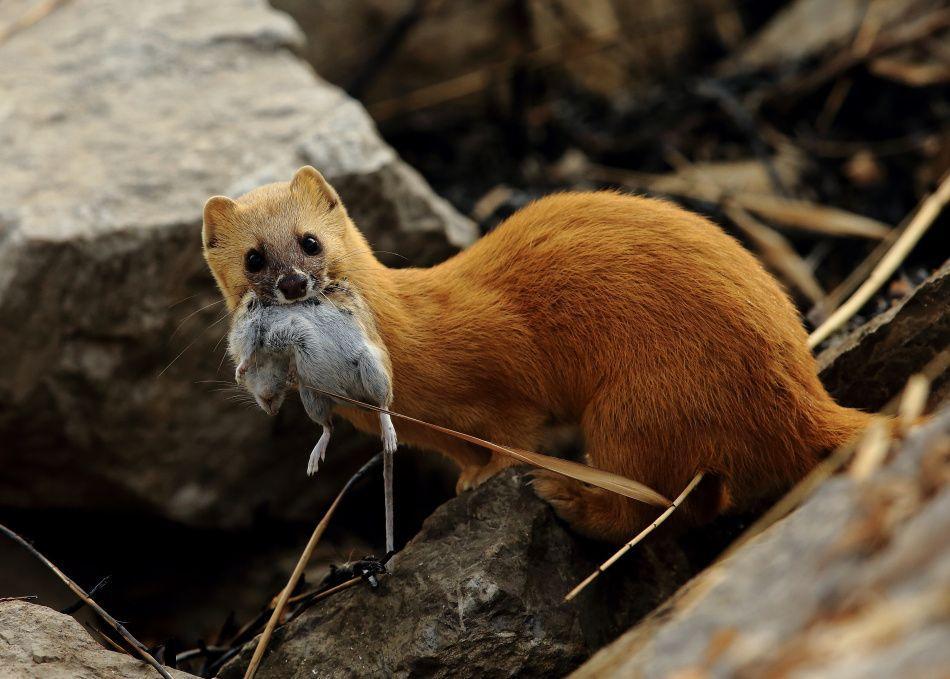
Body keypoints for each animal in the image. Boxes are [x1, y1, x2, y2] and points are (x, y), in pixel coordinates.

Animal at [205, 165, 872, 540]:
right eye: (253, 258)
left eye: (310, 241)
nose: (294, 283)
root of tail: (799, 386)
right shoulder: (433, 429)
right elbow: (463, 451)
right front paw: (467, 479)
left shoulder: (497, 378)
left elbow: (513, 431)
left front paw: (495, 474)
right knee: (699, 502)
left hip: (633, 406)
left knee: (641, 508)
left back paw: (567, 496)